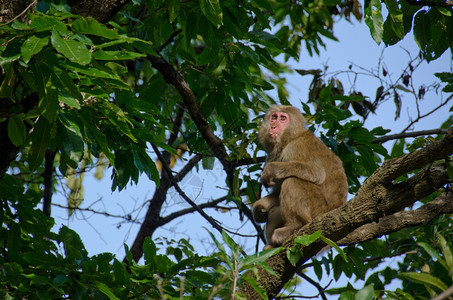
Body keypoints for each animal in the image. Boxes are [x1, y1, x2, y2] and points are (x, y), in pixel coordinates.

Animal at [251, 105, 346, 248]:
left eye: (283, 118)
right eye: (274, 117)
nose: (273, 126)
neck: (289, 138)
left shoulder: (295, 147)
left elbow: (316, 172)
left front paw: (271, 169)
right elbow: (277, 192)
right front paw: (258, 208)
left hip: (318, 210)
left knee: (292, 181)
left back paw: (297, 226)